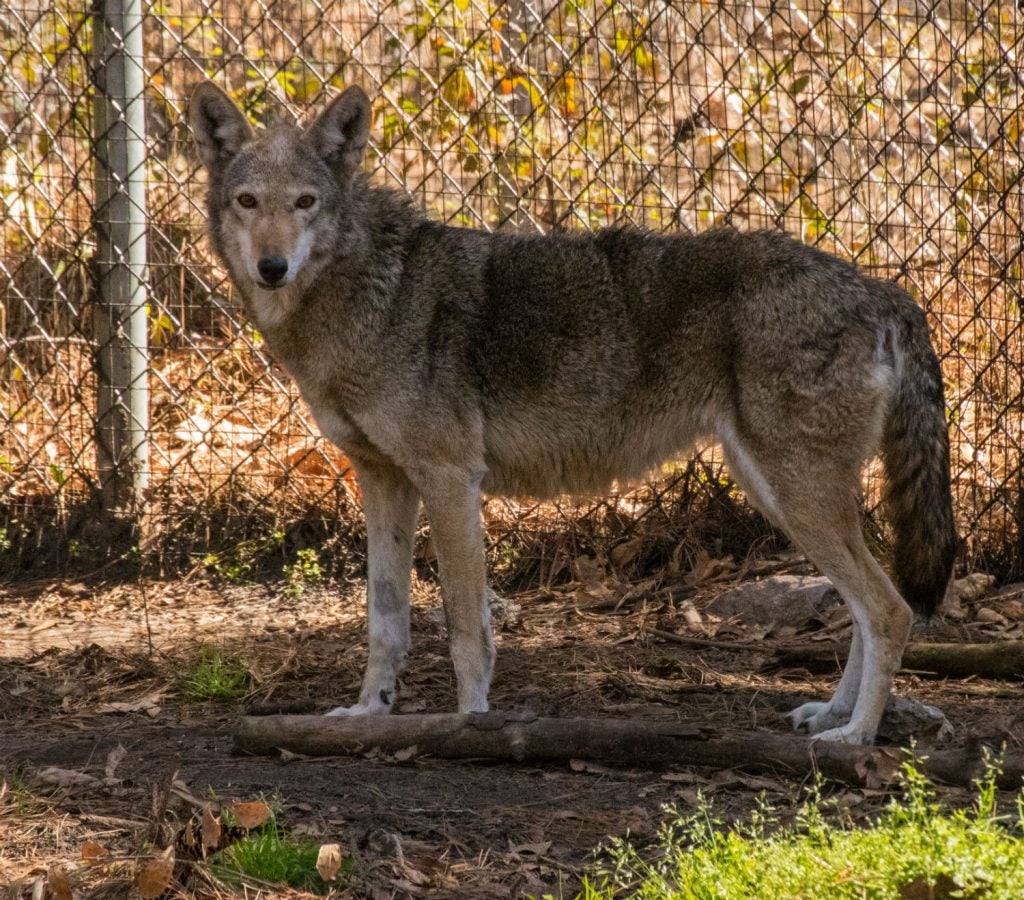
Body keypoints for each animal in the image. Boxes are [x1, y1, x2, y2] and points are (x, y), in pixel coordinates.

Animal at [188, 82, 954, 745]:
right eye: (248, 202)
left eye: (306, 202)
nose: (273, 267)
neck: (373, 294)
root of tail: (886, 293)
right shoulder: (383, 481)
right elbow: (384, 621)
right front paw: (369, 712)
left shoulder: (450, 481)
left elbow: (467, 633)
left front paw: (471, 728)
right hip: (778, 493)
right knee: (866, 607)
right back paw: (833, 715)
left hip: (794, 495)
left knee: (890, 608)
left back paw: (855, 737)